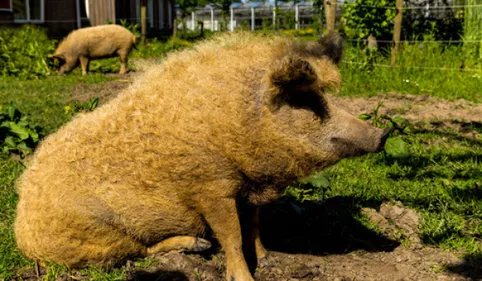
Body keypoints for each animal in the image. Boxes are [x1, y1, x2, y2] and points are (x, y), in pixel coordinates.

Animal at [16, 31, 392, 278]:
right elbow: (232, 235)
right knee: (136, 251)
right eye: (304, 100)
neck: (237, 121)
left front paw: (268, 260)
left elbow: (254, 227)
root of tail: (22, 234)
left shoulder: (247, 191)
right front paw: (244, 276)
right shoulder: (209, 186)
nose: (383, 134)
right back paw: (198, 246)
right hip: (99, 237)